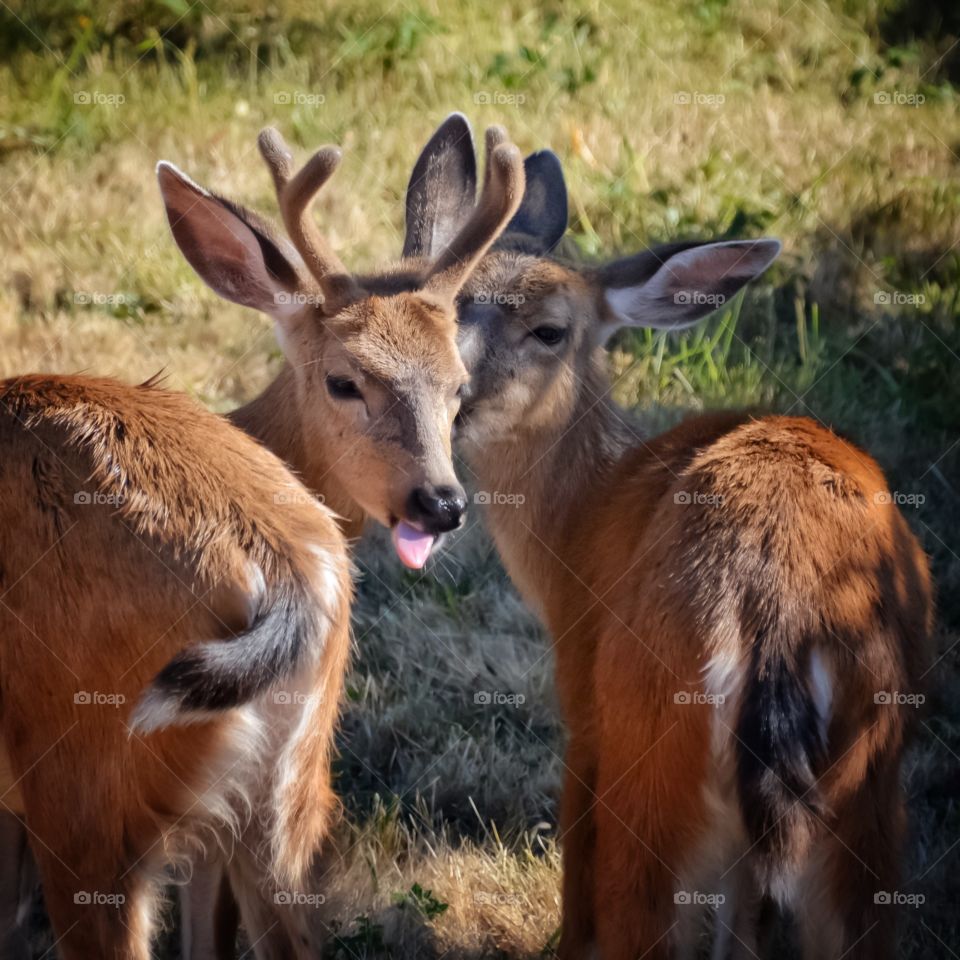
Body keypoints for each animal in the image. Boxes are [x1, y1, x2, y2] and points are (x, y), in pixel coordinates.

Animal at [0, 122, 524, 960]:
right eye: (344, 381)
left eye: (457, 388)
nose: (440, 502)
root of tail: (284, 575)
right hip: (290, 789)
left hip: (86, 781)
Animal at [408, 116, 932, 956]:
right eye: (436, 308)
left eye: (550, 330)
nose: (446, 398)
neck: (584, 520)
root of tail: (778, 609)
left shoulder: (586, 713)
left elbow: (578, 900)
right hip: (869, 787)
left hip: (653, 750)